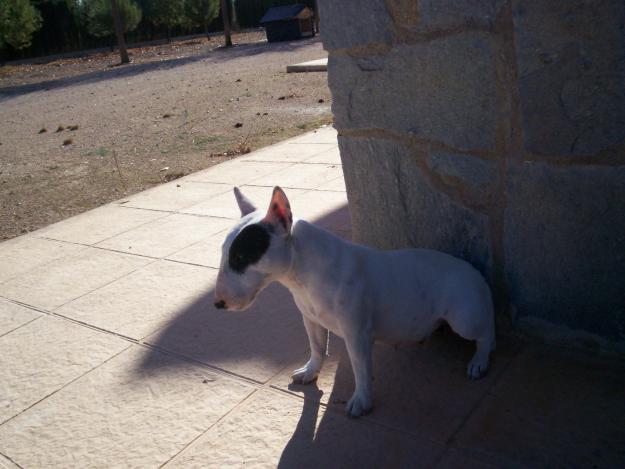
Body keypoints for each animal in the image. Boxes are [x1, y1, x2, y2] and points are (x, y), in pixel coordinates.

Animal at [216, 185, 498, 414]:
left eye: (240, 257)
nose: (217, 304)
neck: (302, 273)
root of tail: (476, 272)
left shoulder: (357, 335)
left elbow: (360, 368)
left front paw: (361, 401)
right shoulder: (311, 320)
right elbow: (316, 347)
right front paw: (310, 371)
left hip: (464, 318)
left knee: (487, 335)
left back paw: (479, 362)